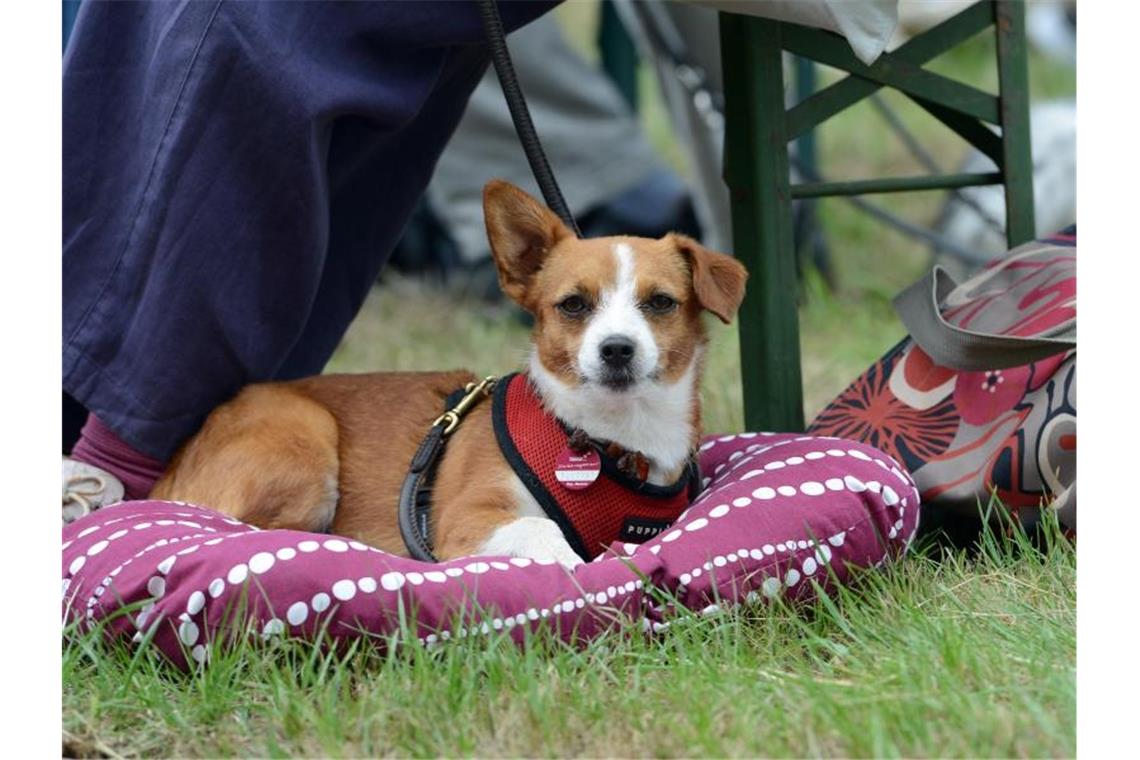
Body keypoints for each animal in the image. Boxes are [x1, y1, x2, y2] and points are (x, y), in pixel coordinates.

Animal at [151, 180, 747, 569]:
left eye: (661, 302)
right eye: (573, 305)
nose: (617, 349)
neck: (613, 440)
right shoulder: (464, 520)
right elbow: (540, 524)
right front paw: (571, 559)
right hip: (305, 446)